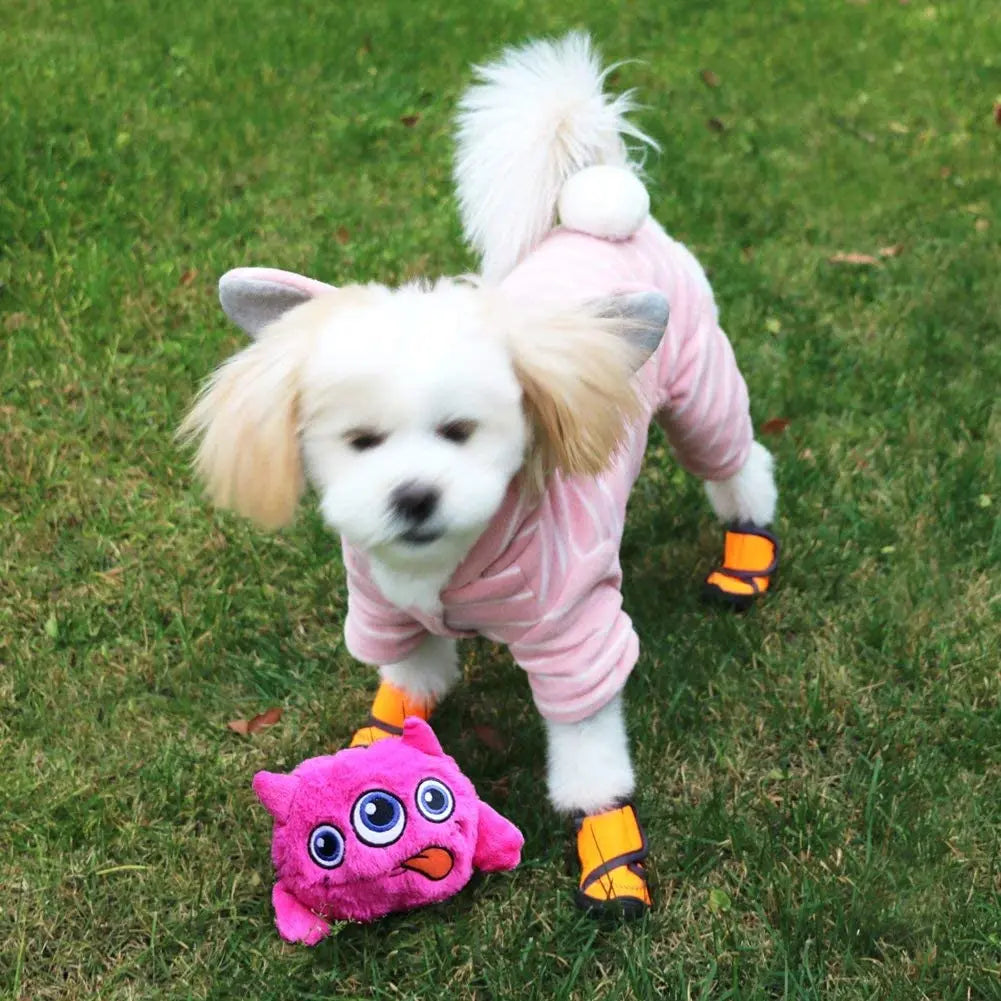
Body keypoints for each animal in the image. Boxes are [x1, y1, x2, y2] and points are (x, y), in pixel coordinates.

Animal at [188, 35, 780, 916]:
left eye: (460, 432)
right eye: (361, 442)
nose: (412, 495)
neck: (443, 562)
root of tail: (599, 211)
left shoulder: (574, 638)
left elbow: (589, 761)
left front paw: (609, 853)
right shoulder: (386, 611)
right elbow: (406, 687)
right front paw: (368, 751)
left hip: (701, 387)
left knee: (742, 464)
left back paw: (747, 553)